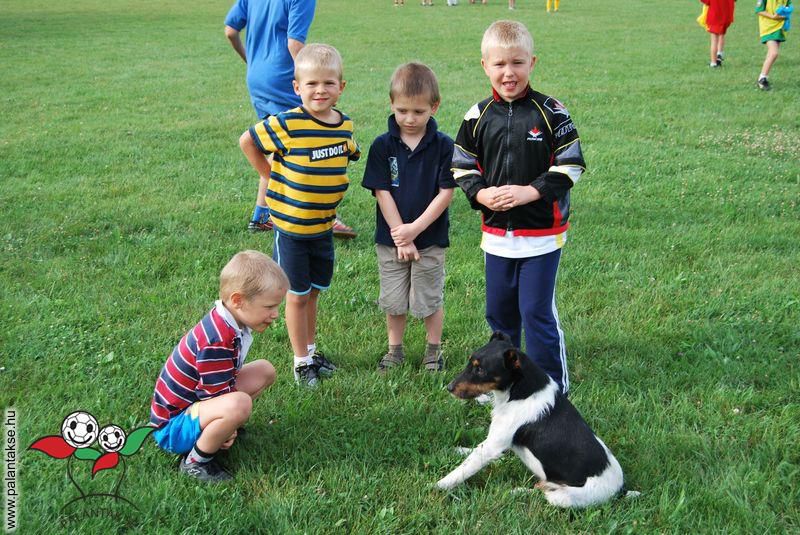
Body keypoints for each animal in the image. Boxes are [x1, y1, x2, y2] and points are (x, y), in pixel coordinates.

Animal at [437, 332, 624, 508]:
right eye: (470, 364)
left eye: (480, 370)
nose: (449, 388)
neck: (518, 393)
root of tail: (621, 490)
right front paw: (459, 450)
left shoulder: (493, 445)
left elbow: (463, 469)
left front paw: (437, 486)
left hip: (562, 497)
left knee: (540, 493)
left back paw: (515, 492)